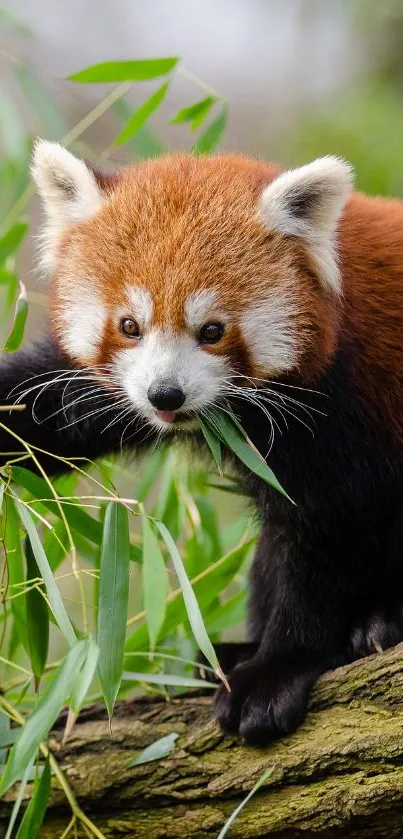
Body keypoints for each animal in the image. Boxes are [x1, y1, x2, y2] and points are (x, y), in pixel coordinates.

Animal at [0, 139, 403, 748]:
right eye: (129, 325)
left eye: (211, 331)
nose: (165, 394)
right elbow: (42, 409)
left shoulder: (343, 410)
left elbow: (323, 538)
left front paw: (278, 668)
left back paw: (380, 623)